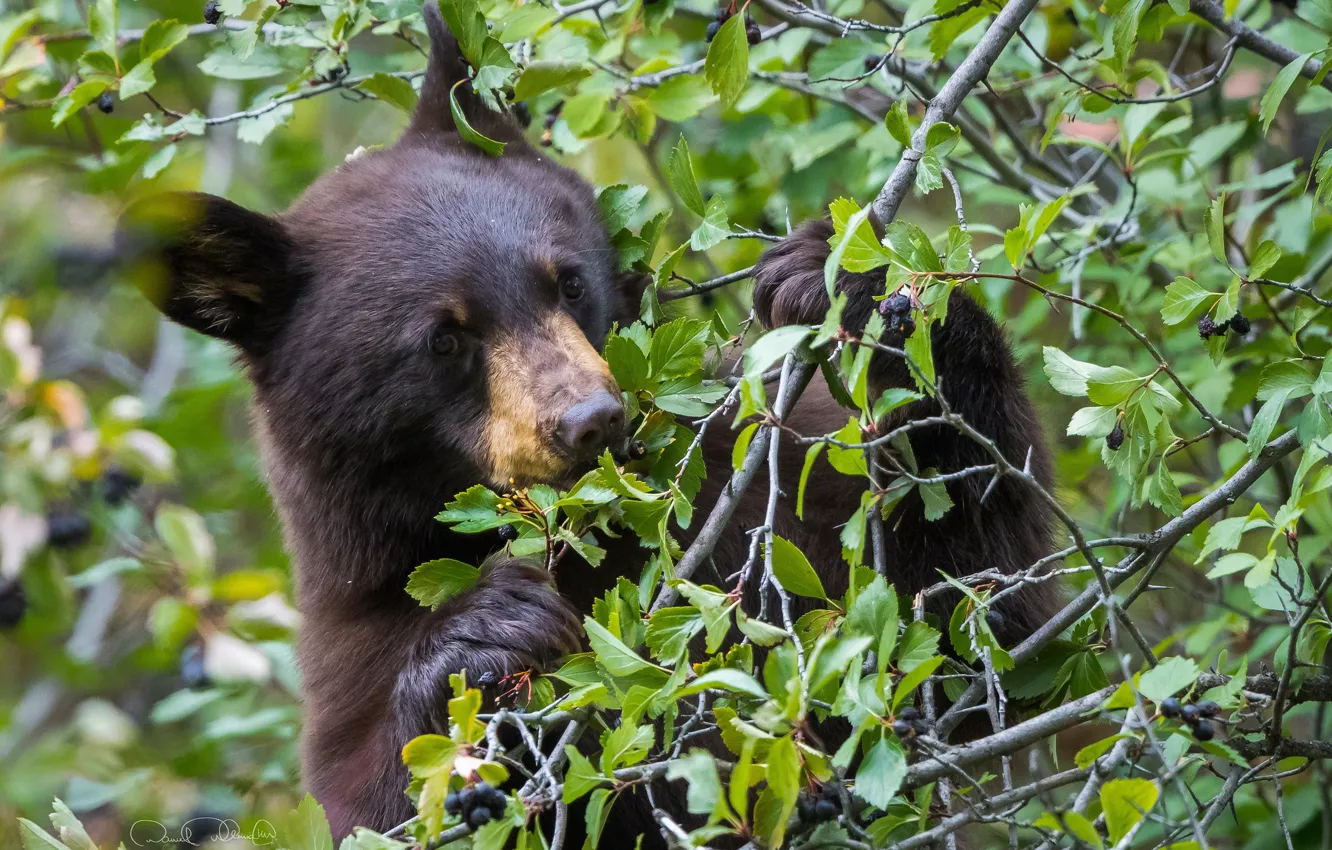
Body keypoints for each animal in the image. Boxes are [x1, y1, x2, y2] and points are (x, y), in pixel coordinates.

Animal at [125, 1, 1054, 847]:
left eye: (567, 281)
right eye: (445, 338)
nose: (591, 420)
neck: (598, 539)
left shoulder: (775, 488)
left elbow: (977, 622)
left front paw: (859, 289)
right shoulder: (350, 624)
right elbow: (378, 805)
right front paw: (483, 632)